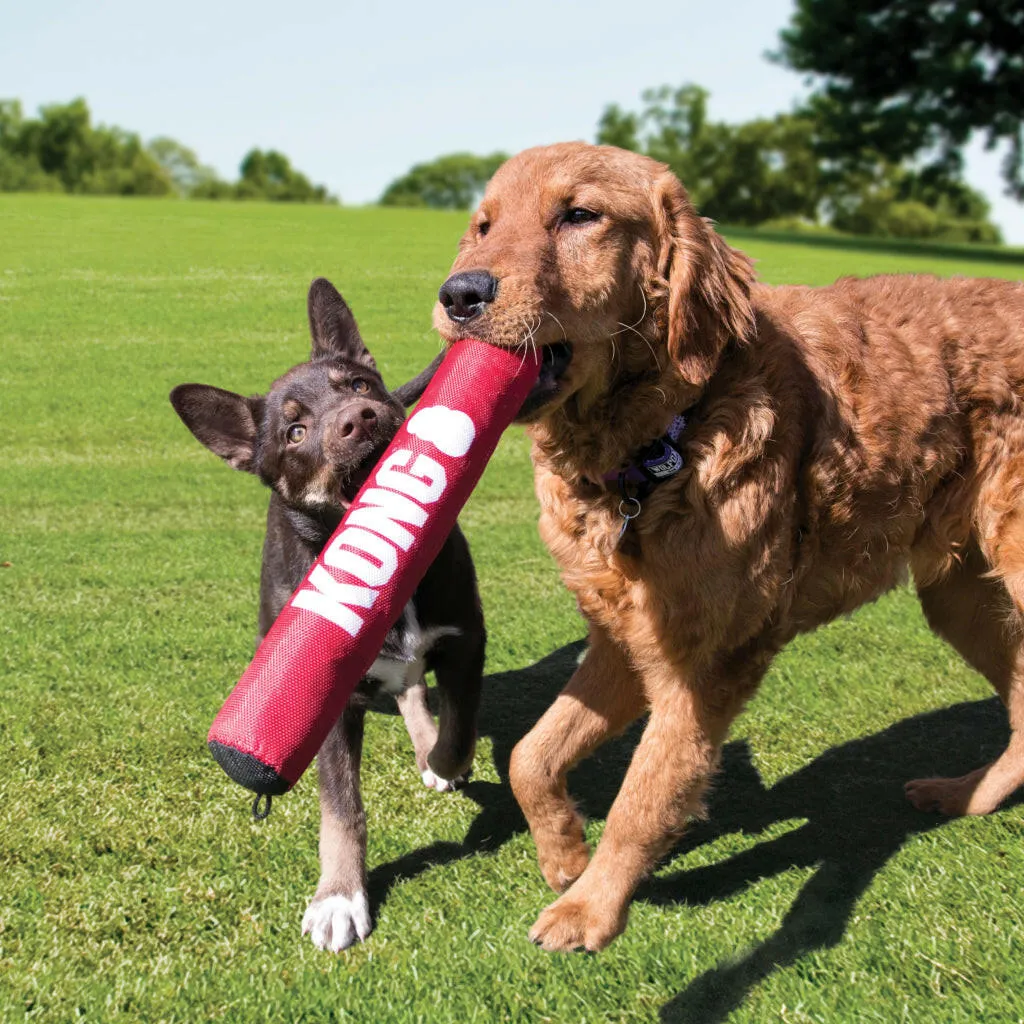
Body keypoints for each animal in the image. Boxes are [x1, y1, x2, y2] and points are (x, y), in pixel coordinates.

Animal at [172, 278, 483, 950]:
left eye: (359, 385)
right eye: (294, 431)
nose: (359, 417)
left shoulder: (466, 638)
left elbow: (460, 730)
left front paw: (441, 762)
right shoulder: (326, 701)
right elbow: (342, 807)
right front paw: (339, 896)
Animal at [436, 142, 1024, 950]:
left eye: (579, 215)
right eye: (484, 225)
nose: (459, 295)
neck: (659, 449)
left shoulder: (702, 665)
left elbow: (644, 795)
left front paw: (591, 907)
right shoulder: (623, 642)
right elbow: (530, 756)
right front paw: (564, 856)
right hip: (960, 595)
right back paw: (966, 793)